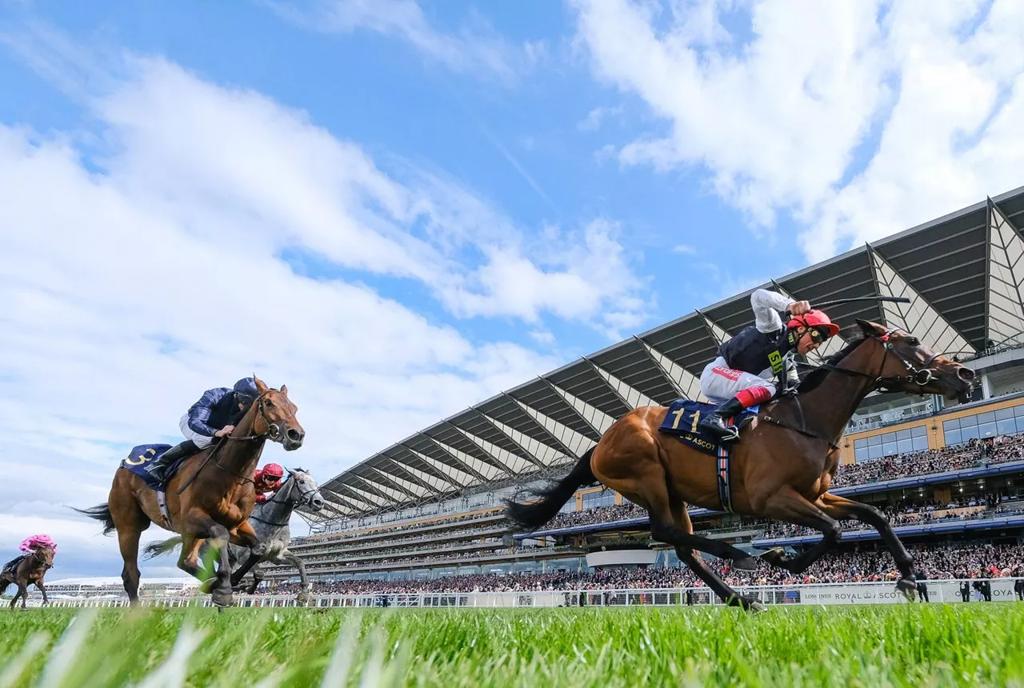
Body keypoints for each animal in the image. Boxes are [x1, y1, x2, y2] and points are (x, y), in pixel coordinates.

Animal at [78, 376, 305, 606]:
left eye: (294, 407)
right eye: (268, 403)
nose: (296, 435)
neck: (231, 473)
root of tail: (125, 464)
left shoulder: (237, 524)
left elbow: (258, 549)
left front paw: (231, 581)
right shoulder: (192, 518)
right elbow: (221, 535)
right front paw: (225, 588)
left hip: (188, 533)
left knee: (186, 561)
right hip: (129, 526)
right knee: (131, 574)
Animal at [144, 470, 323, 597]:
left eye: (315, 483)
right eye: (301, 481)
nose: (319, 502)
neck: (272, 520)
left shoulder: (277, 556)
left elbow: (300, 562)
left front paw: (304, 592)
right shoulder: (244, 555)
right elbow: (259, 572)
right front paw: (247, 588)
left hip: (229, 558)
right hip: (207, 553)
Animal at [509, 319, 974, 610]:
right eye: (911, 342)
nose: (964, 374)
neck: (804, 420)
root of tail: (598, 443)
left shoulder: (817, 494)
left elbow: (874, 515)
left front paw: (910, 577)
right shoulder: (772, 499)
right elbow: (833, 530)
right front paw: (782, 558)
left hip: (672, 492)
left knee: (682, 545)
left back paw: (743, 597)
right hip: (646, 476)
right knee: (665, 533)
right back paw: (736, 555)